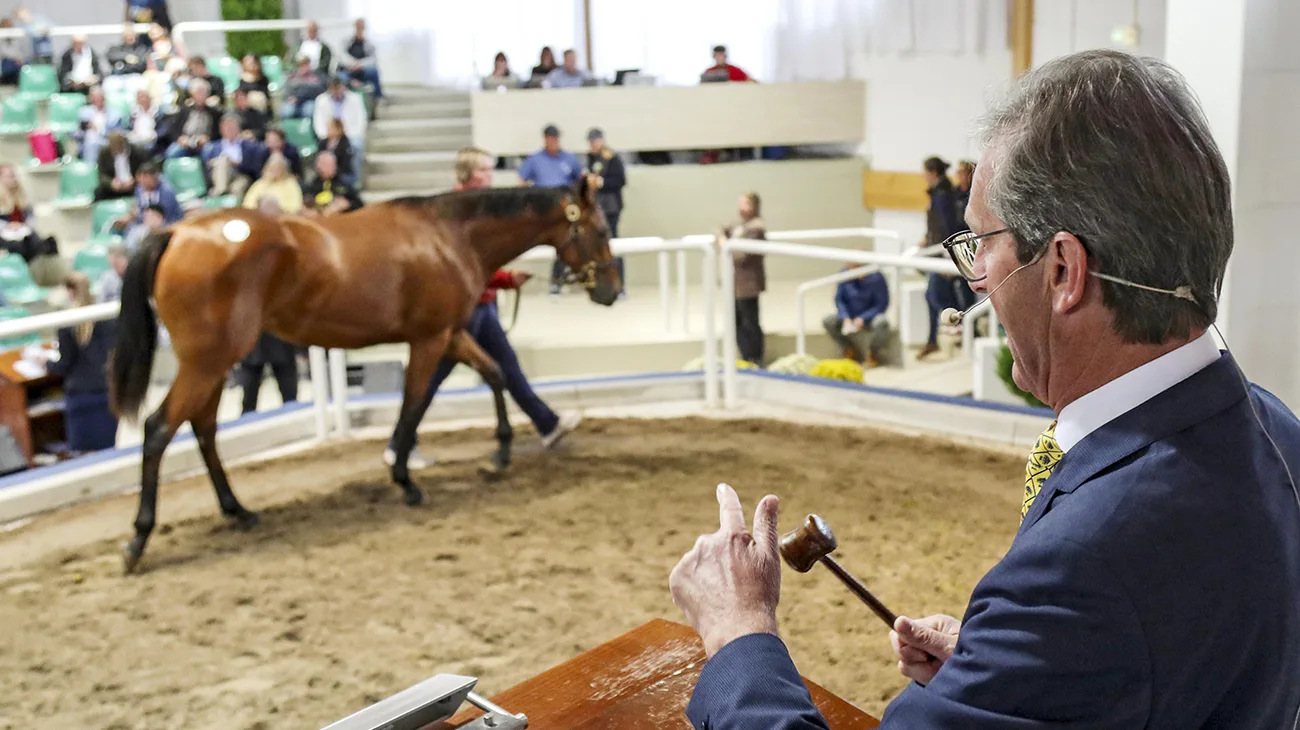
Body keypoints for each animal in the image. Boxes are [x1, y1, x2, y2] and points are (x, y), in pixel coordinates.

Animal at [107, 179, 618, 571]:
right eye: (599, 229)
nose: (610, 291)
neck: (448, 235)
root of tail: (176, 233)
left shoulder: (452, 334)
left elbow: (494, 374)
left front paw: (501, 453)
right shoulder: (429, 339)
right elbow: (414, 405)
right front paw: (406, 481)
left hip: (215, 363)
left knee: (204, 429)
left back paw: (239, 512)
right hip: (208, 362)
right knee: (158, 430)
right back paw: (137, 541)